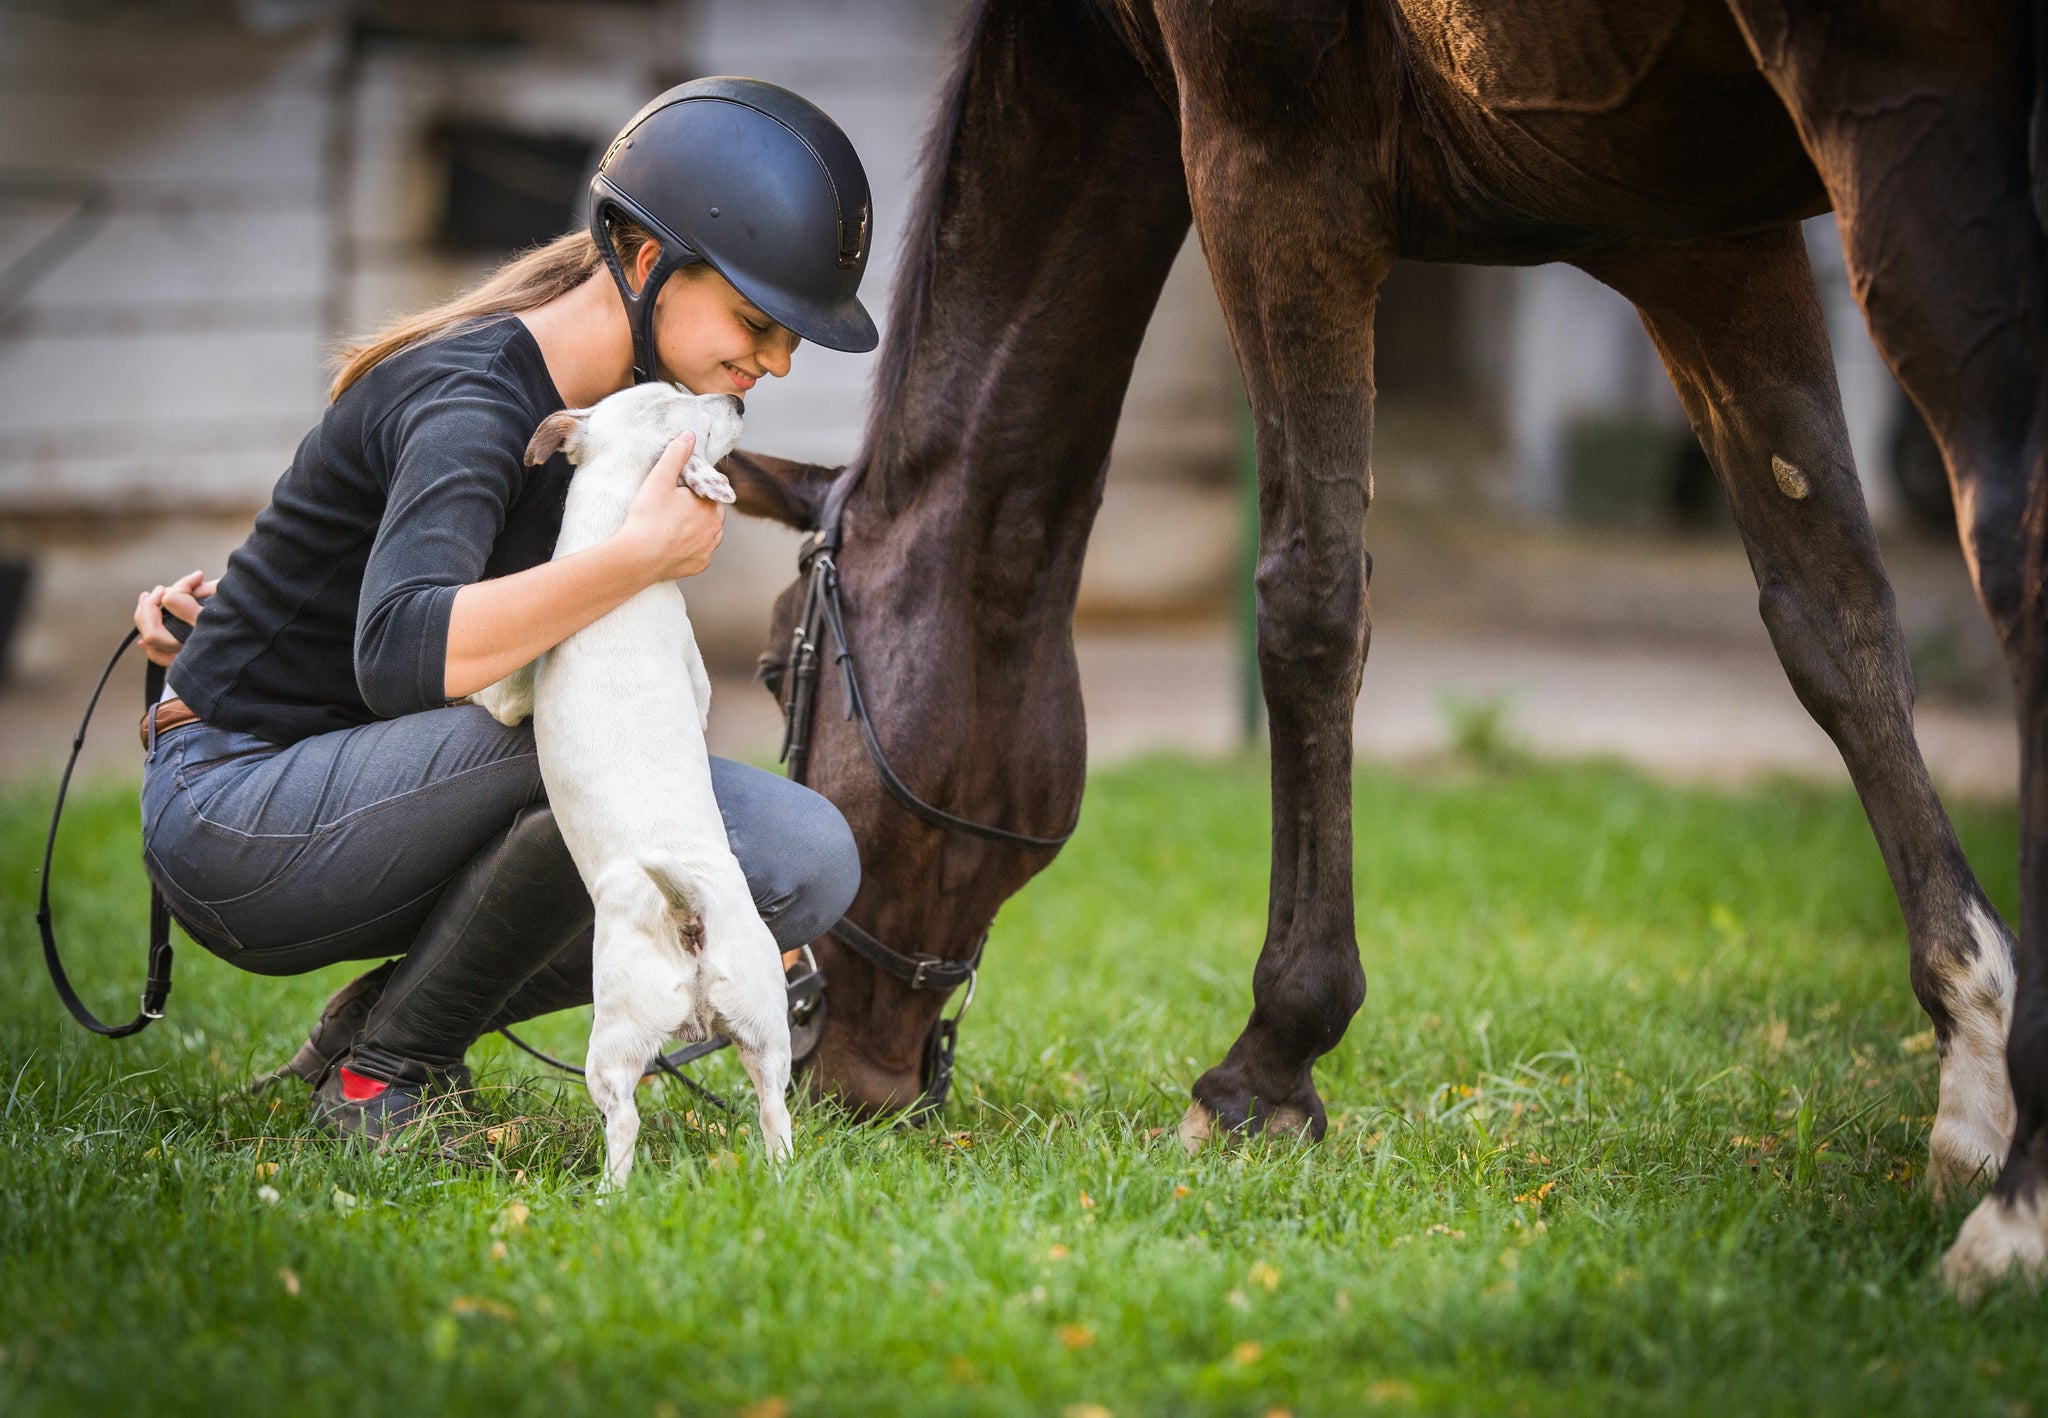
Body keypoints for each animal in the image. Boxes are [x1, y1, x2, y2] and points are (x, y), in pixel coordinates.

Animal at [477, 383, 790, 1188]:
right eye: (689, 406)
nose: (738, 397)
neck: (610, 528)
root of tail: (691, 914)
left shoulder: (514, 693)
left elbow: (487, 695)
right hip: (764, 1026)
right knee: (776, 1111)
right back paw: (781, 1178)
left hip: (613, 1044)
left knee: (623, 1122)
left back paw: (608, 1195)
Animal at [716, 0, 2031, 1286]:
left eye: (779, 672)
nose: (833, 1076)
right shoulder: (1706, 241)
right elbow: (1831, 619)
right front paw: (1972, 1060)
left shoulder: (1272, 165)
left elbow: (1308, 602)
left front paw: (1264, 1071)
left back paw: (2014, 1222)